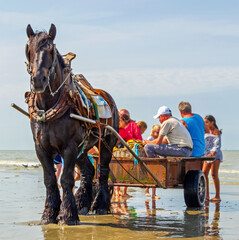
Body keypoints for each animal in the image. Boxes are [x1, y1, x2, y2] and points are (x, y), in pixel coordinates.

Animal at [25, 23, 118, 225]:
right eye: (28, 49)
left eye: (51, 50)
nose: (38, 80)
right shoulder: (41, 148)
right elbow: (50, 179)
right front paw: (49, 214)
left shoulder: (69, 147)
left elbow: (66, 179)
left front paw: (67, 215)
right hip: (83, 148)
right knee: (88, 171)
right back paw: (82, 203)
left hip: (106, 144)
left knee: (104, 171)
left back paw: (100, 205)